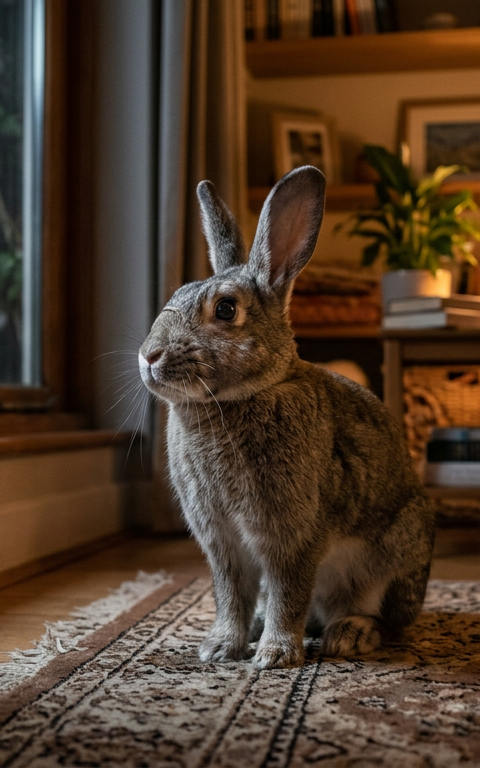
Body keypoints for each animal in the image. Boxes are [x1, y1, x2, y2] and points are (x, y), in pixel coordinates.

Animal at [139, 166, 435, 670]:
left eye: (226, 309)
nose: (148, 356)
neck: (237, 398)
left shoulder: (292, 537)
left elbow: (287, 593)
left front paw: (275, 656)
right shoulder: (222, 543)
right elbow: (231, 595)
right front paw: (220, 648)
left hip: (391, 559)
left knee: (379, 616)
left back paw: (349, 634)